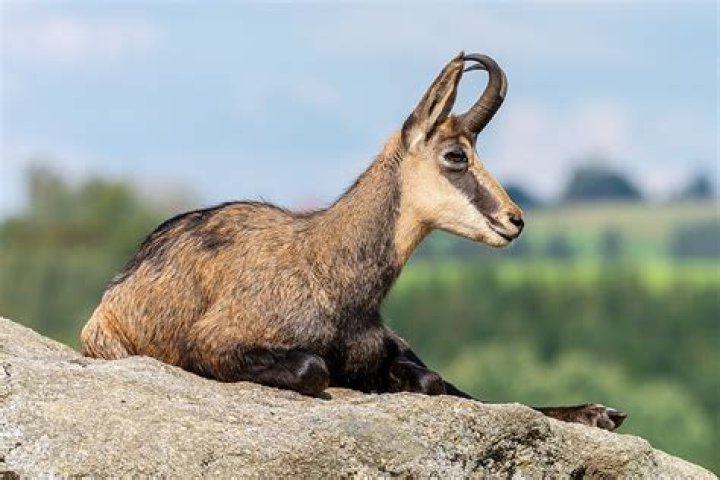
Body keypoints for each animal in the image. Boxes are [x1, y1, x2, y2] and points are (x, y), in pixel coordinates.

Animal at [81, 52, 626, 430]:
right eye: (456, 156)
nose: (514, 221)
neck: (327, 267)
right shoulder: (214, 344)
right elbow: (314, 369)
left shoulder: (387, 352)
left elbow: (435, 382)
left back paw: (601, 412)